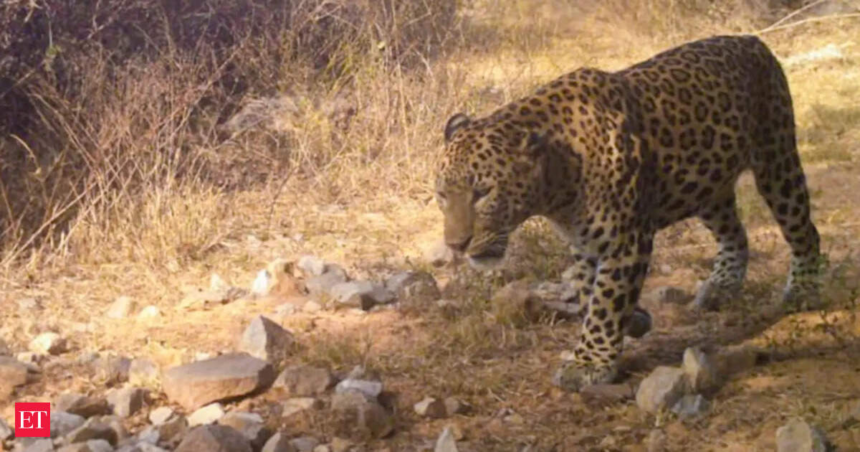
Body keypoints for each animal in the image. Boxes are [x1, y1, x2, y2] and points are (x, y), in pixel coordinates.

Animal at [434, 35, 822, 391]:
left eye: (483, 193)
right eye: (441, 195)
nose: (456, 245)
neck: (557, 181)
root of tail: (751, 40)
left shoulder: (624, 240)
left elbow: (606, 299)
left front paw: (589, 362)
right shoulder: (584, 242)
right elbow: (589, 290)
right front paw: (633, 319)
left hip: (776, 159)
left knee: (803, 228)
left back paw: (802, 290)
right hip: (708, 187)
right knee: (734, 233)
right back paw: (722, 286)